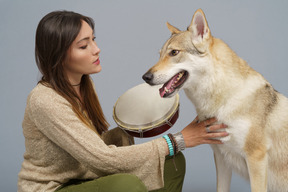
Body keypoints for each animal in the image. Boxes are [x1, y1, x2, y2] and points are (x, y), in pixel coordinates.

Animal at [142, 8, 288, 192]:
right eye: (160, 55)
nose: (145, 77)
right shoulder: (221, 157)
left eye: (174, 52)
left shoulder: (256, 158)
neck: (223, 100)